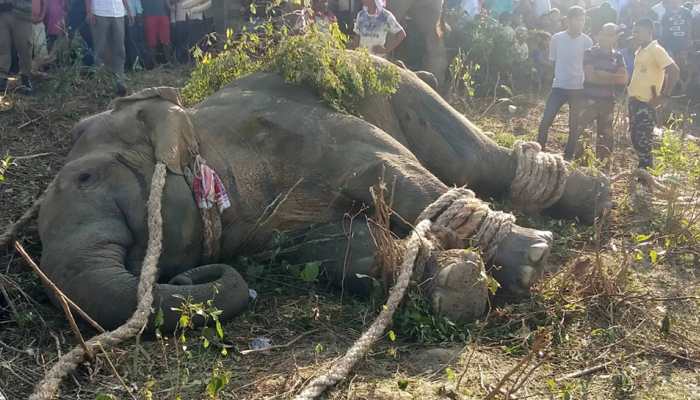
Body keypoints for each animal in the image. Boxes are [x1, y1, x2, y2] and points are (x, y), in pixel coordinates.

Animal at [37, 58, 609, 332]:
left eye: (85, 179)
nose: (182, 277)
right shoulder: (260, 231)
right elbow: (344, 251)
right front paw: (458, 286)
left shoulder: (292, 126)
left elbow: (389, 170)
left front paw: (532, 260)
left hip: (393, 80)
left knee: (475, 160)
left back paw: (594, 200)